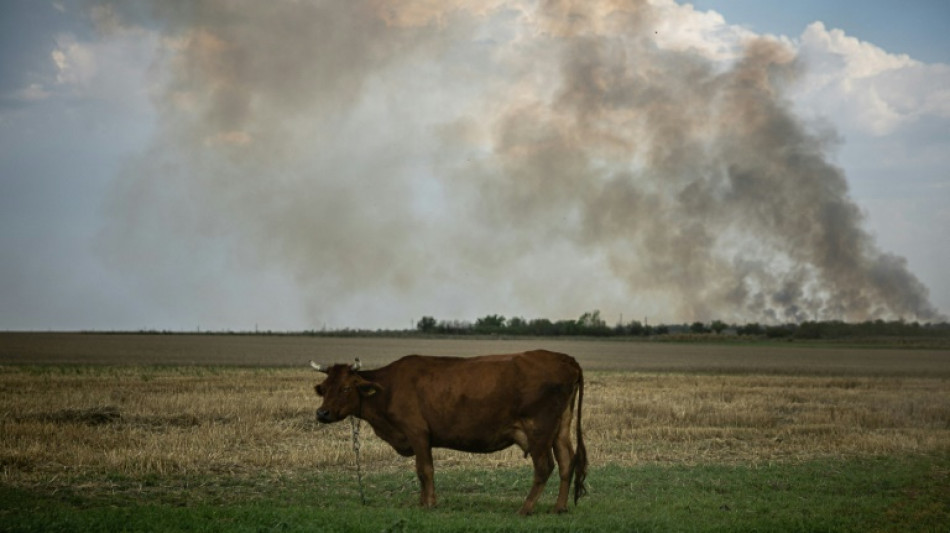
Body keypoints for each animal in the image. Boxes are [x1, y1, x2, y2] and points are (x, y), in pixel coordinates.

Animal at [308, 348, 588, 512]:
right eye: (325, 387)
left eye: (346, 387)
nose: (322, 414)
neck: (389, 388)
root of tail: (566, 359)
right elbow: (422, 472)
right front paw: (423, 501)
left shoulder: (418, 433)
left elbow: (425, 470)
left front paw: (428, 503)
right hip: (560, 429)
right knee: (567, 462)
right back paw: (559, 507)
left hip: (538, 429)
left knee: (545, 467)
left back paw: (526, 508)